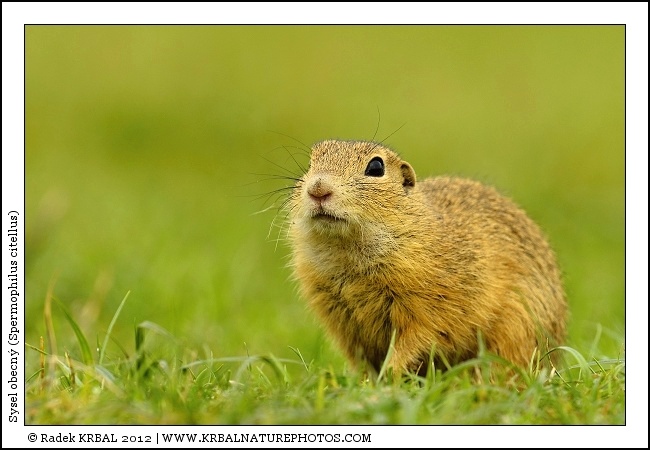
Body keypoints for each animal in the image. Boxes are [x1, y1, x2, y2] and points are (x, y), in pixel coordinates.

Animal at [286, 139, 567, 376]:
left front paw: (391, 373)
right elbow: (362, 358)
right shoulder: (341, 319)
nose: (318, 189)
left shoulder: (431, 305)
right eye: (310, 163)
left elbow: (419, 337)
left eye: (376, 167)